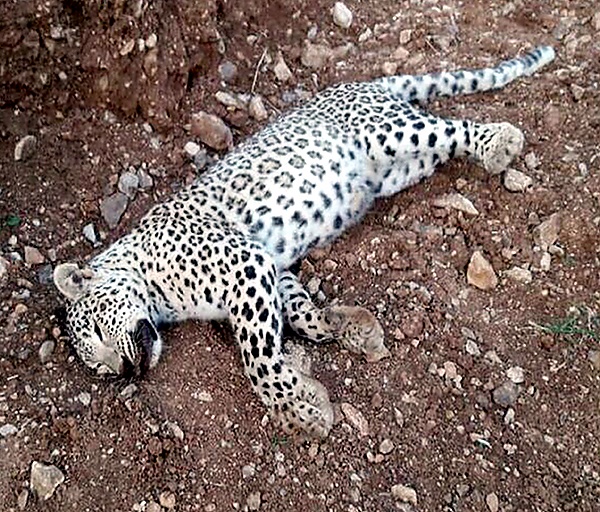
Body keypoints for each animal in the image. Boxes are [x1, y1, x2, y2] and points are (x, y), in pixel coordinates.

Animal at [54, 46, 555, 438]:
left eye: (96, 329)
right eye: (97, 369)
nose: (125, 370)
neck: (156, 293)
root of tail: (359, 84)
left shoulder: (245, 266)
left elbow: (257, 357)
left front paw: (299, 409)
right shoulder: (269, 268)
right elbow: (297, 310)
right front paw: (341, 324)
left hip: (389, 132)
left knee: (450, 126)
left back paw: (500, 141)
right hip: (398, 169)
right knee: (440, 147)